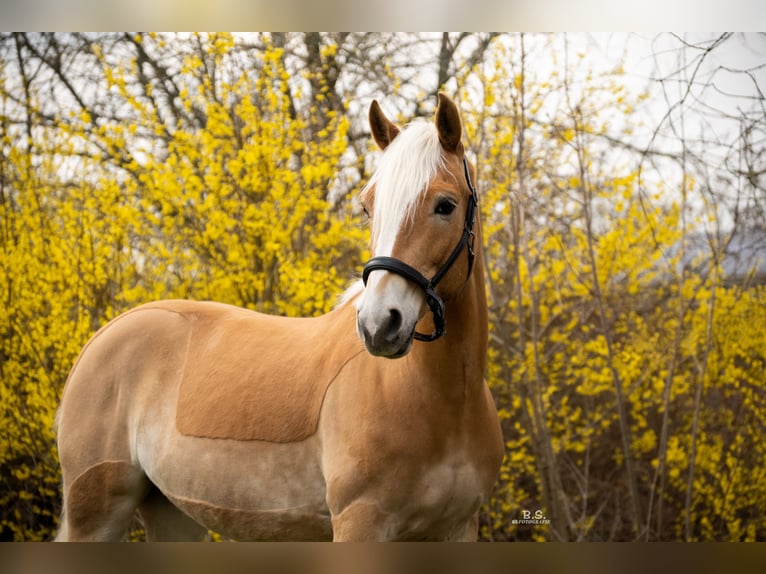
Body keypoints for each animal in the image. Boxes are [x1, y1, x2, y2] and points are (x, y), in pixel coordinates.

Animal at [54, 93, 504, 541]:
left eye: (445, 205)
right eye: (367, 207)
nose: (378, 325)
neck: (443, 401)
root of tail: (103, 337)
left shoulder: (459, 528)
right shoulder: (361, 523)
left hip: (172, 514)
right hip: (95, 513)